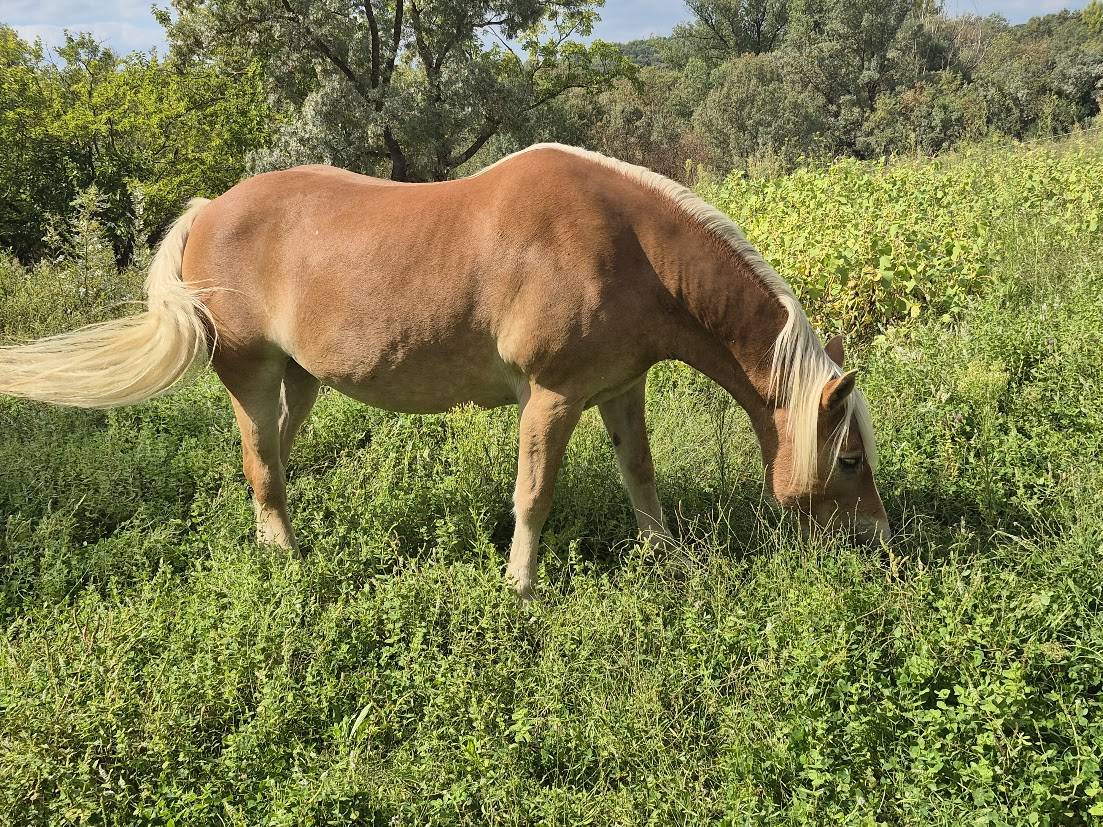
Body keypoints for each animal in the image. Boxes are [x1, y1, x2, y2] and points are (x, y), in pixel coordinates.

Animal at [0, 144, 889, 600]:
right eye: (847, 459)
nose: (875, 542)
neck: (633, 248)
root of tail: (207, 209)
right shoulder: (551, 397)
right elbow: (533, 494)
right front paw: (521, 587)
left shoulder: (617, 388)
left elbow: (640, 473)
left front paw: (665, 558)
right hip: (250, 373)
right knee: (260, 461)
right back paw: (287, 561)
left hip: (298, 380)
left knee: (273, 461)